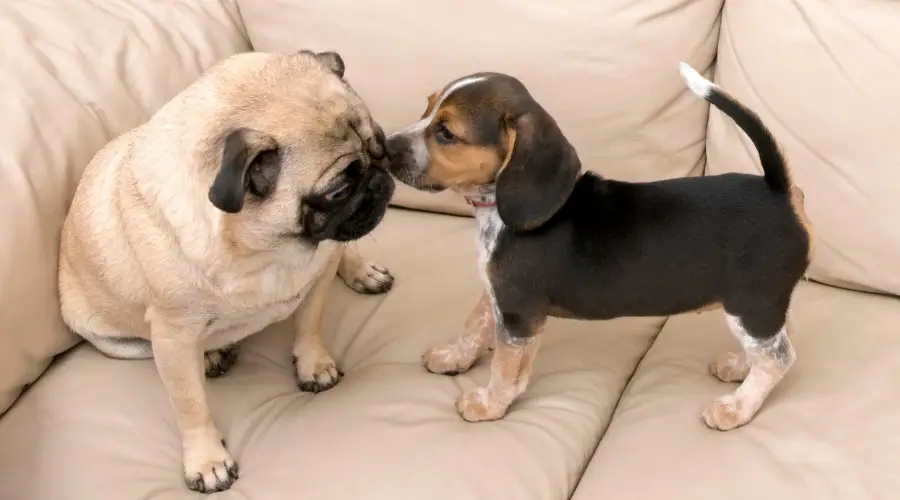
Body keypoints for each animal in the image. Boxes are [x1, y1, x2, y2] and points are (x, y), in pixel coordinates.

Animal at [386, 62, 816, 430]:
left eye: (446, 132)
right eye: (426, 108)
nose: (385, 145)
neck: (494, 208)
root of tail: (778, 190)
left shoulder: (519, 312)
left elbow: (506, 366)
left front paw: (490, 403)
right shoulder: (498, 294)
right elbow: (475, 322)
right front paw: (455, 357)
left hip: (749, 303)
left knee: (778, 358)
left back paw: (737, 407)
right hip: (762, 305)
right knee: (781, 336)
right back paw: (740, 368)